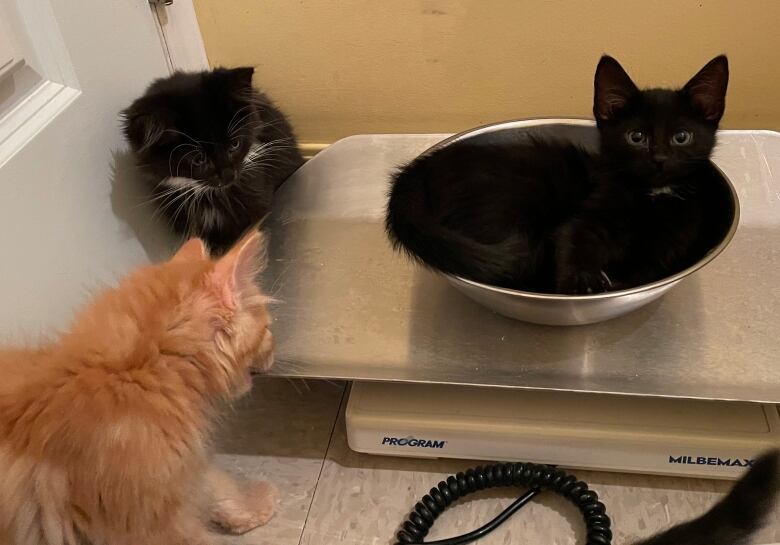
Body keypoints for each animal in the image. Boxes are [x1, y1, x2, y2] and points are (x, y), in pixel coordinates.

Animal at [0, 232, 278, 540]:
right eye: (268, 329)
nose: (275, 349)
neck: (133, 375)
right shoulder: (152, 518)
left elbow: (213, 481)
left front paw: (250, 505)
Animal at [386, 55, 736, 294]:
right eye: (636, 137)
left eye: (682, 137)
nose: (659, 160)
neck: (650, 197)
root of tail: (418, 170)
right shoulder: (586, 218)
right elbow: (572, 240)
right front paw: (580, 285)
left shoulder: (665, 251)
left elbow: (641, 273)